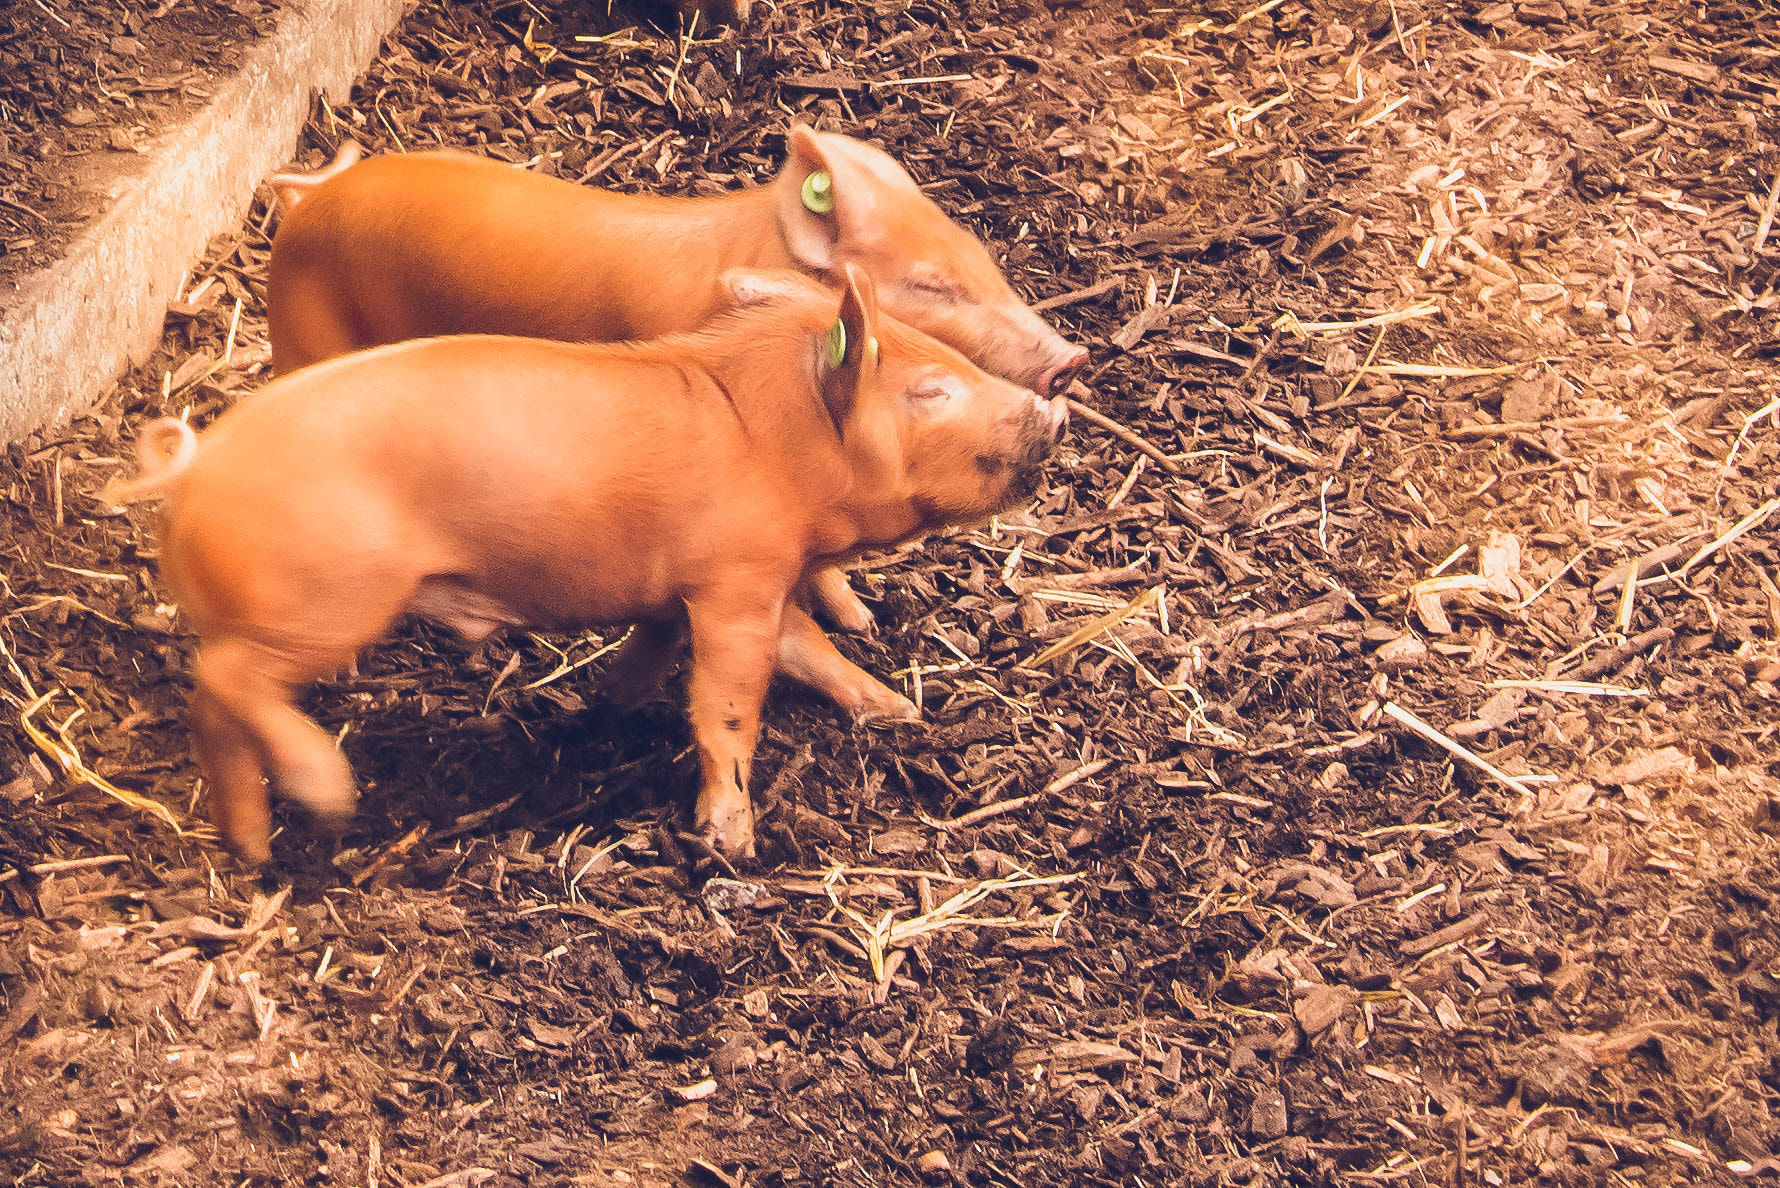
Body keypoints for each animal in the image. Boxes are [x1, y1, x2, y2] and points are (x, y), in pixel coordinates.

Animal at [107, 265, 1067, 863]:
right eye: (929, 391)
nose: (1054, 412)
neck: (775, 445)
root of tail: (193, 472)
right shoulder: (738, 579)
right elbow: (731, 699)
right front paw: (731, 844)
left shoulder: (696, 589)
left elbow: (782, 650)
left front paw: (898, 711)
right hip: (329, 599)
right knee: (226, 680)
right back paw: (331, 795)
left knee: (214, 707)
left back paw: (253, 850)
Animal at [265, 125, 1086, 637]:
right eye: (929, 284)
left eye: (980, 254)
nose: (1071, 358)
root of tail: (307, 204)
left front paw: (864, 621)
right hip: (301, 338)